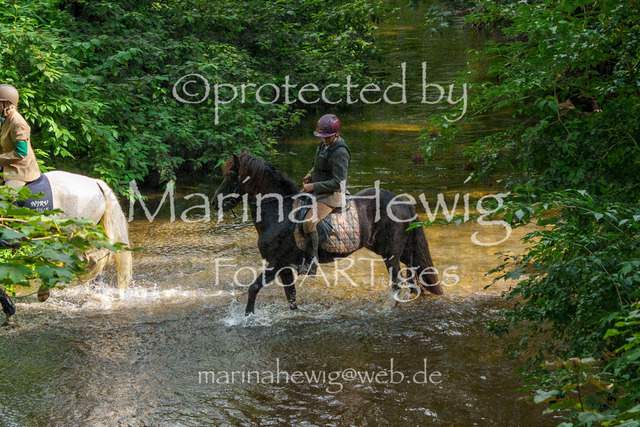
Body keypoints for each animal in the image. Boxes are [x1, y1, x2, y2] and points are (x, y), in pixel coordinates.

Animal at [212, 151, 443, 315]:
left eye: (231, 174)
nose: (214, 202)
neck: (280, 213)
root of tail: (403, 203)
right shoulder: (284, 267)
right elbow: (291, 298)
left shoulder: (278, 263)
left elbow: (253, 288)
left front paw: (247, 317)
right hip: (397, 250)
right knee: (414, 279)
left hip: (391, 255)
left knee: (397, 283)